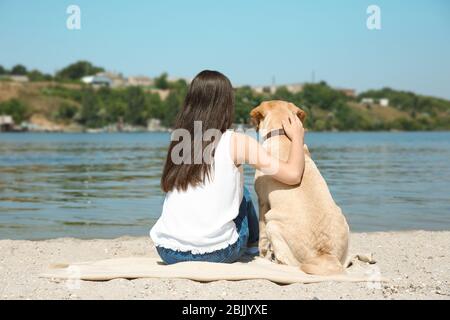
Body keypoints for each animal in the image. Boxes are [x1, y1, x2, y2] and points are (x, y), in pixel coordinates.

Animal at [251, 100, 350, 276]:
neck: (283, 135)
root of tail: (325, 255)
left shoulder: (262, 201)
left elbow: (261, 238)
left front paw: (262, 254)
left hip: (272, 224)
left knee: (289, 263)